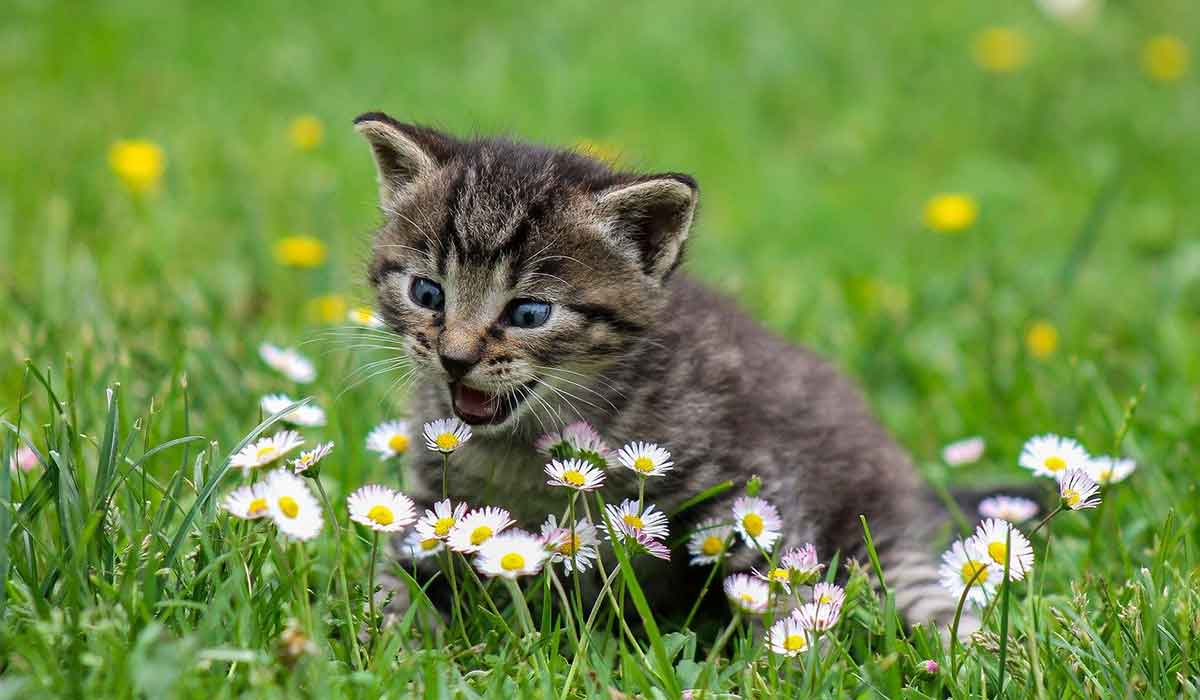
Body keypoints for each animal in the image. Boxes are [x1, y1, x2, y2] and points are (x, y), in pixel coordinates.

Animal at [355, 112, 964, 629]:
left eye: (529, 314)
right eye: (427, 293)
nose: (455, 358)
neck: (523, 446)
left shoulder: (756, 482)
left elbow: (773, 582)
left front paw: (778, 659)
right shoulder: (434, 503)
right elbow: (395, 577)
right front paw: (395, 634)